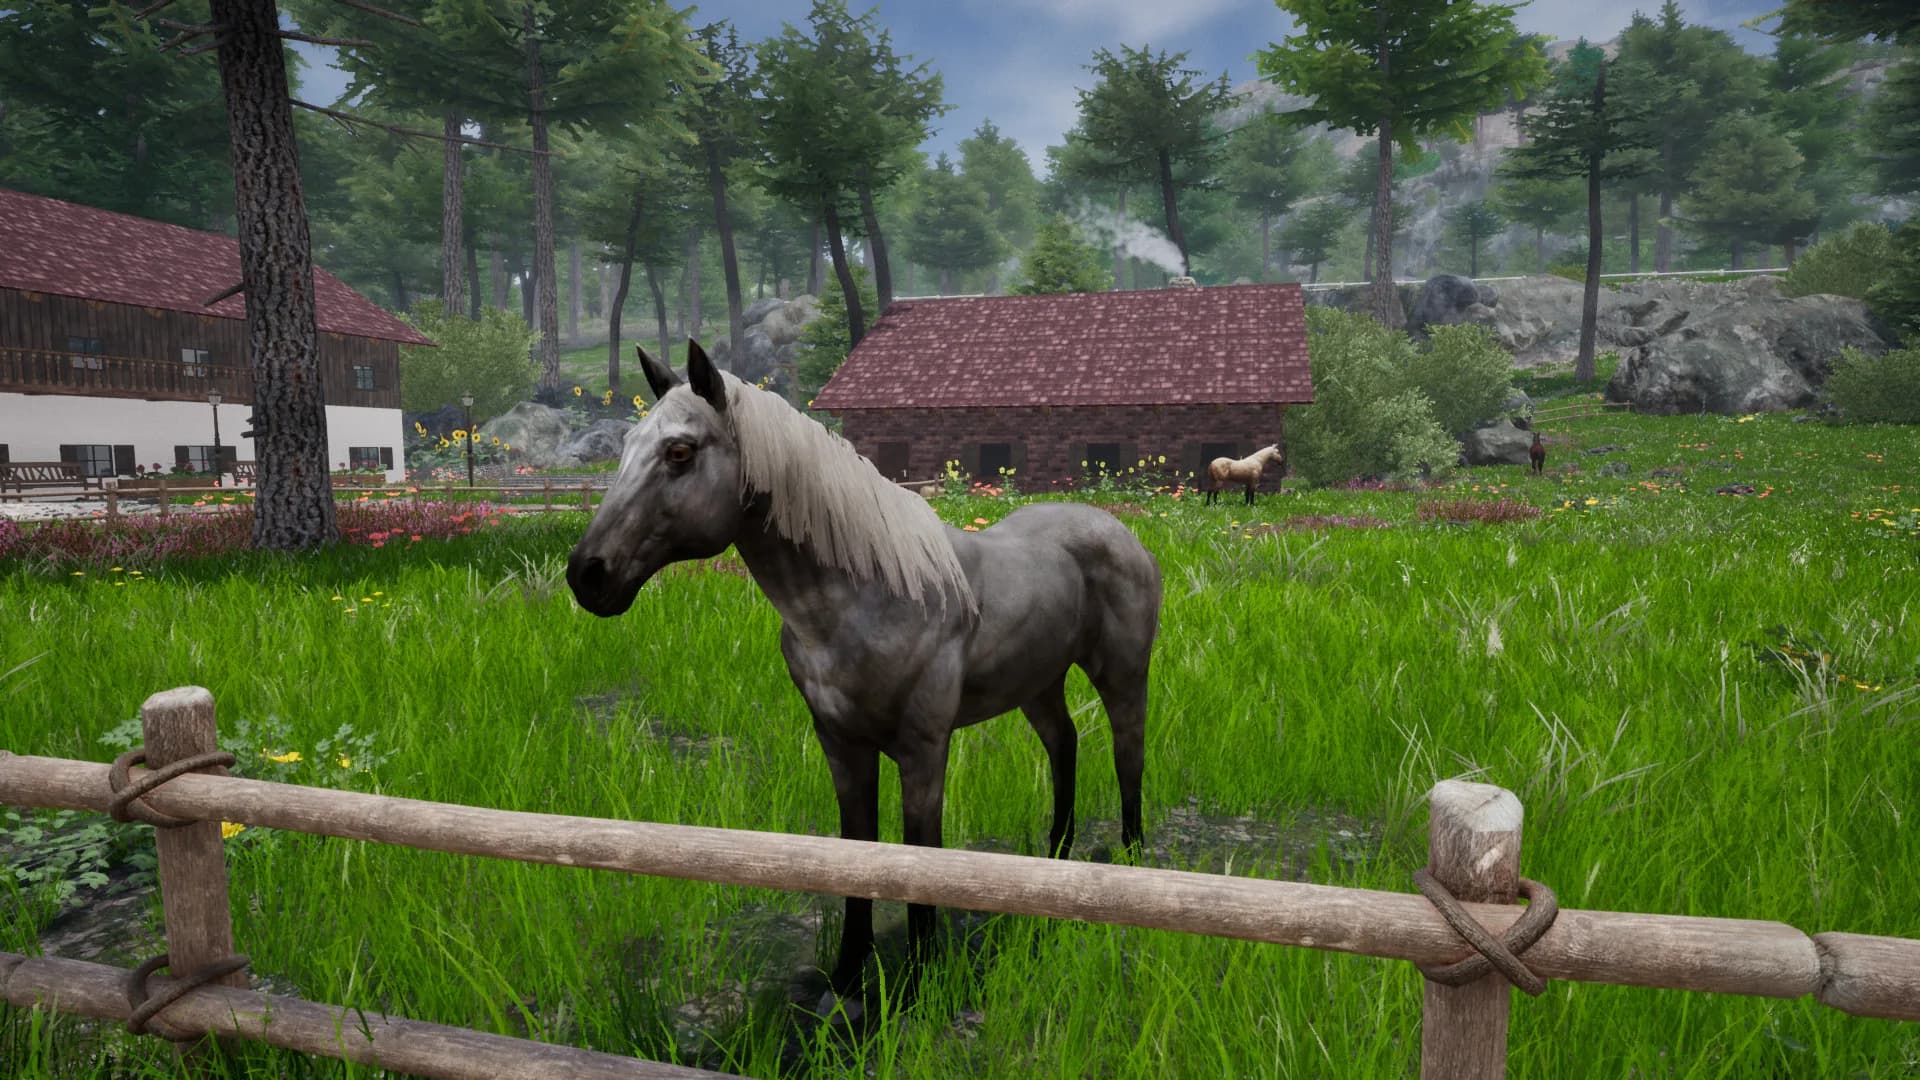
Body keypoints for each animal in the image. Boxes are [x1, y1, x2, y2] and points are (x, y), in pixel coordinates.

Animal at [567, 341, 1163, 1022]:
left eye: (681, 452)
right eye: (626, 444)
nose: (587, 574)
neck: (864, 597)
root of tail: (1115, 527)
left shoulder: (924, 751)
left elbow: (919, 854)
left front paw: (923, 980)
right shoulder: (840, 746)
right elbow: (856, 852)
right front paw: (847, 979)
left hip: (1122, 676)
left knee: (1128, 755)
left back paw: (1131, 868)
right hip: (1037, 684)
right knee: (1064, 745)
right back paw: (1055, 866)